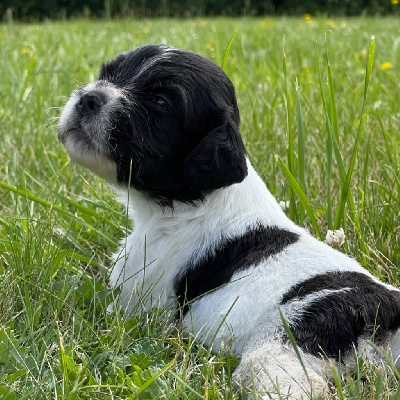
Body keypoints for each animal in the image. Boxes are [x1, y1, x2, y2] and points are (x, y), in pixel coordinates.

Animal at [57, 43, 400, 396]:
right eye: (108, 74)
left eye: (160, 103)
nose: (89, 98)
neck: (193, 199)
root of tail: (388, 314)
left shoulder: (136, 293)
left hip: (289, 334)